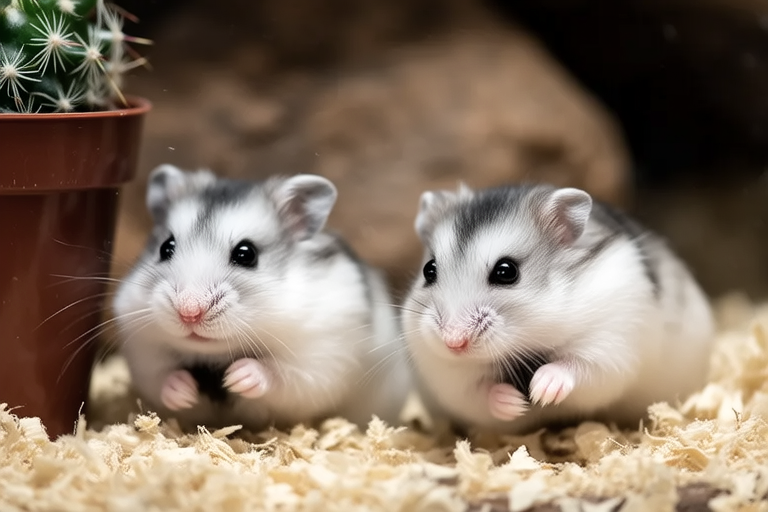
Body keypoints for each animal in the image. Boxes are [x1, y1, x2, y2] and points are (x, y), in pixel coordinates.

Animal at [113, 164, 411, 432]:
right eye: (166, 248)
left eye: (247, 254)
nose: (189, 312)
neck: (217, 353)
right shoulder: (145, 353)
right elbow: (162, 378)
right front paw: (184, 392)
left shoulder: (318, 359)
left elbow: (280, 377)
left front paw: (236, 378)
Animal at [401, 182, 715, 434]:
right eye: (429, 270)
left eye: (506, 272)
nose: (454, 343)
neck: (527, 341)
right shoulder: (451, 378)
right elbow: (480, 393)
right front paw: (516, 404)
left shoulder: (609, 346)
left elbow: (577, 368)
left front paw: (542, 390)